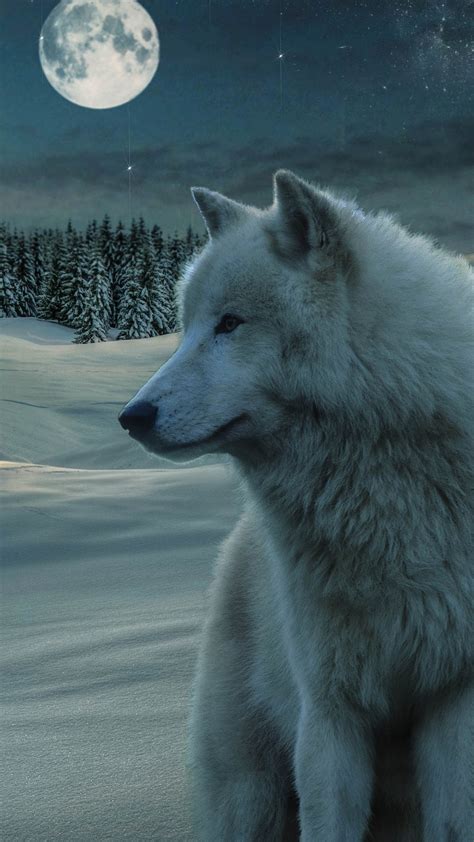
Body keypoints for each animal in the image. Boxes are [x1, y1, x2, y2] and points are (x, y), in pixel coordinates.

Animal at [119, 167, 474, 836]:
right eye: (188, 326)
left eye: (230, 323)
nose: (132, 416)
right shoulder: (330, 711)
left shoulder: (455, 696)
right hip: (249, 793)